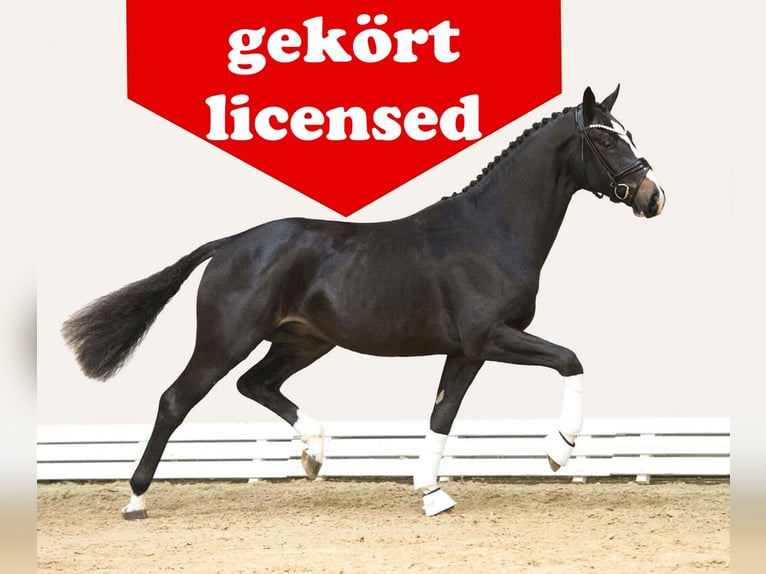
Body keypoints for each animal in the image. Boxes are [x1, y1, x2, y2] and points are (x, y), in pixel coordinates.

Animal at [62, 86, 666, 519]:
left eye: (629, 133)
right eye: (606, 141)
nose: (653, 197)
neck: (491, 232)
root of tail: (229, 244)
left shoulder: (465, 351)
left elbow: (442, 412)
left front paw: (432, 493)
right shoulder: (489, 337)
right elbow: (570, 360)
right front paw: (558, 449)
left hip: (304, 343)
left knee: (256, 385)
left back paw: (314, 452)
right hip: (225, 341)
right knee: (175, 400)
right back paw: (136, 499)